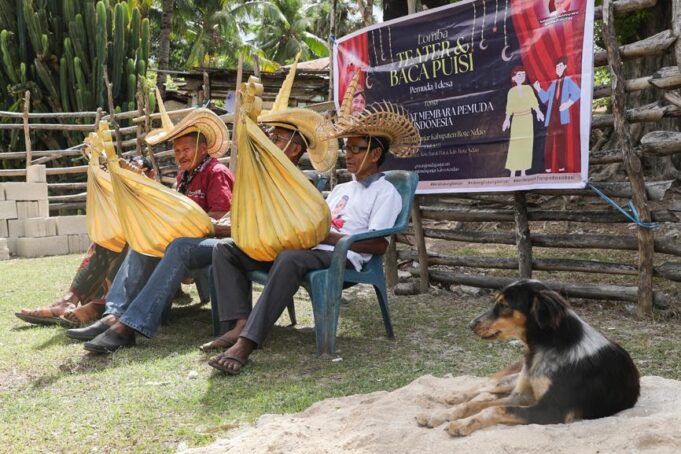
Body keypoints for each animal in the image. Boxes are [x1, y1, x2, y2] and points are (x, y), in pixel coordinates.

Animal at [414, 280, 636, 436]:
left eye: (504, 305)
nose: (470, 324)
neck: (545, 347)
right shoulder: (522, 395)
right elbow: (477, 405)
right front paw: (444, 415)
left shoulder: (551, 410)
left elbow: (493, 409)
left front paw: (462, 423)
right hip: (512, 379)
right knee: (485, 386)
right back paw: (449, 401)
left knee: (487, 394)